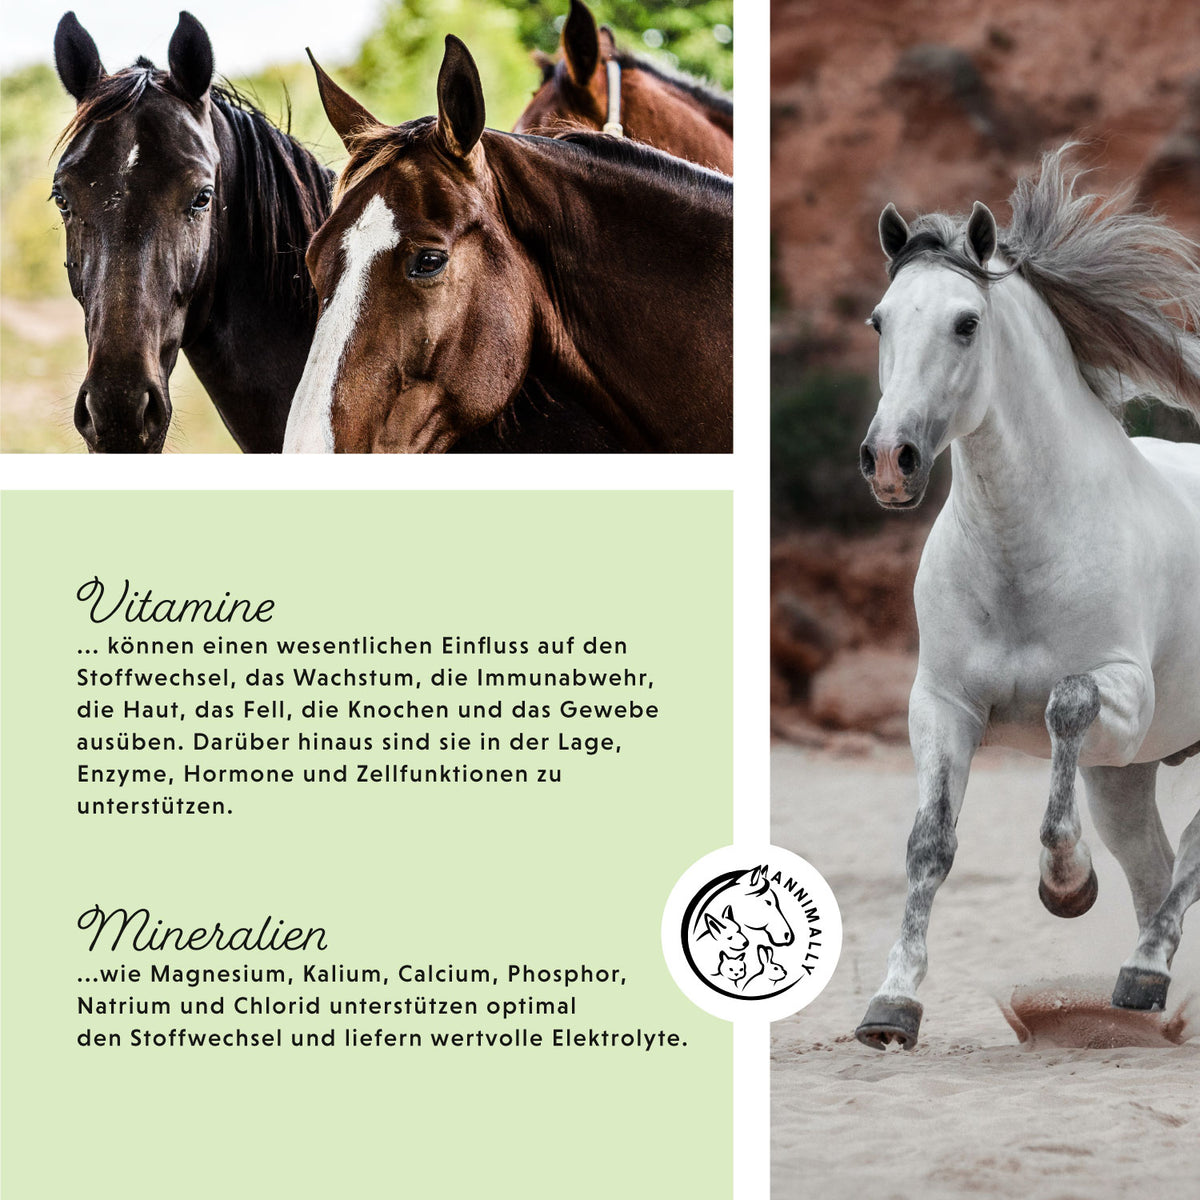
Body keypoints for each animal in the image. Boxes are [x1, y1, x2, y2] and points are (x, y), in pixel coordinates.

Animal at [853, 146, 1200, 1051]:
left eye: (966, 323)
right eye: (880, 321)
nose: (891, 461)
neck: (1022, 550)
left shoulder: (1122, 697)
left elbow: (1063, 708)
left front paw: (1067, 885)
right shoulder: (942, 705)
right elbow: (929, 845)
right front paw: (891, 1006)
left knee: (1190, 854)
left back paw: (1144, 971)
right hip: (1126, 778)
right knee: (1155, 864)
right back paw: (1146, 996)